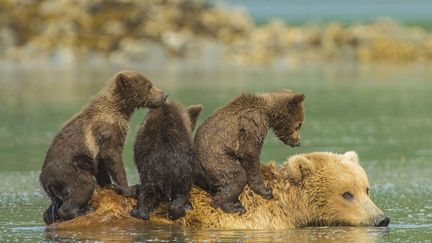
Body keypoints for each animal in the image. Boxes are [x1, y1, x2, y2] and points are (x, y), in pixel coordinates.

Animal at [39, 71, 167, 225]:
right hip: (69, 172)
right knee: (82, 187)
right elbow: (113, 157)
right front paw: (129, 189)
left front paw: (107, 185)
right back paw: (83, 210)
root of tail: (44, 180)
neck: (120, 108)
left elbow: (101, 164)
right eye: (149, 86)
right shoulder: (107, 130)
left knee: (54, 206)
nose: (164, 95)